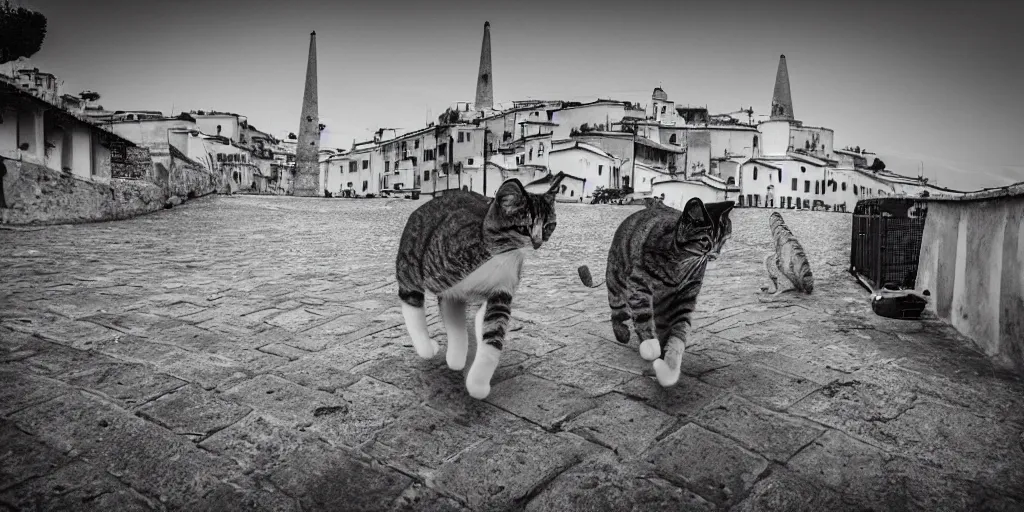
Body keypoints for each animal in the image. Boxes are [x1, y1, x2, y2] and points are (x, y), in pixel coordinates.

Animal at [395, 177, 565, 399]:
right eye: (524, 228)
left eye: (548, 226)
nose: (537, 243)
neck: (501, 253)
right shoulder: (439, 278)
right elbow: (426, 310)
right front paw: (434, 350)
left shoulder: (503, 288)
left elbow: (493, 332)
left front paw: (478, 382)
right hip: (412, 259)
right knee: (413, 299)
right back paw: (431, 348)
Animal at [577, 197, 737, 385]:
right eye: (705, 240)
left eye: (722, 240)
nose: (715, 254)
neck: (680, 263)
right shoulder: (639, 284)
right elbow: (643, 317)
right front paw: (650, 346)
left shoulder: (684, 298)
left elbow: (678, 335)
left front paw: (668, 368)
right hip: (616, 281)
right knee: (617, 312)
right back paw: (622, 332)